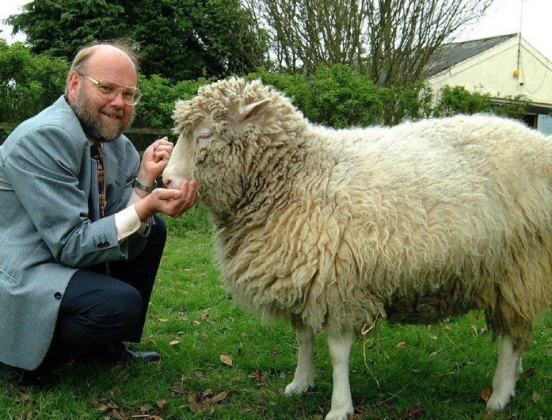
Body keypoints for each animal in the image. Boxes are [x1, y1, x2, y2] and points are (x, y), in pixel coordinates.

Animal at [162, 77, 552, 418]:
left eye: (205, 134)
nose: (166, 180)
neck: (296, 174)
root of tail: (540, 143)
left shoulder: (337, 284)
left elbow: (337, 354)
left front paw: (339, 406)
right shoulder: (302, 274)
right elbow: (303, 337)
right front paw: (300, 383)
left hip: (519, 266)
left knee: (511, 338)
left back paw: (499, 394)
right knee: (518, 335)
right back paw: (513, 381)